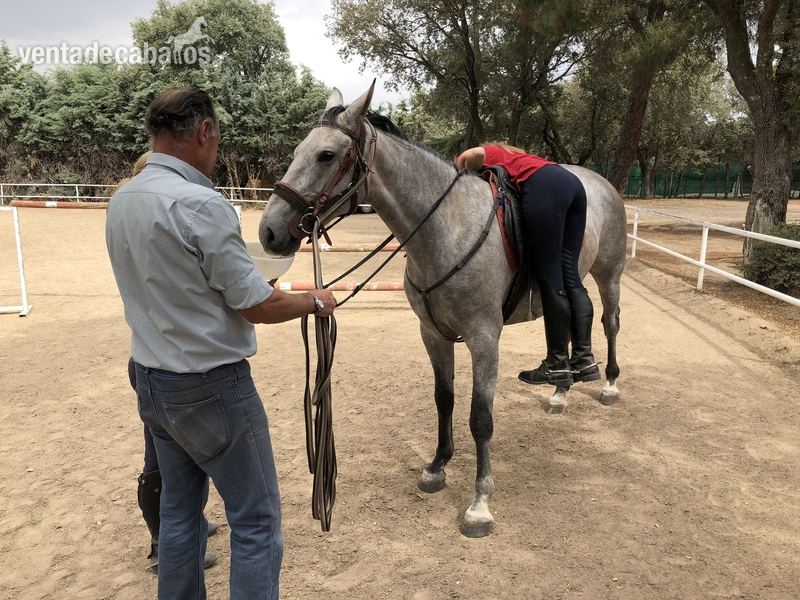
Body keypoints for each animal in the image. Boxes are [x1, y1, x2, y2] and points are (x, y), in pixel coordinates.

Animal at [258, 83, 628, 537]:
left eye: (326, 155)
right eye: (297, 151)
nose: (269, 231)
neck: (446, 230)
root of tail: (597, 182)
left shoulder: (484, 340)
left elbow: (480, 417)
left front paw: (480, 503)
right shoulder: (433, 334)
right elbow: (444, 399)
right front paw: (437, 467)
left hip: (609, 274)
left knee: (609, 322)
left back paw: (607, 383)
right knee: (575, 312)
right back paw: (561, 385)